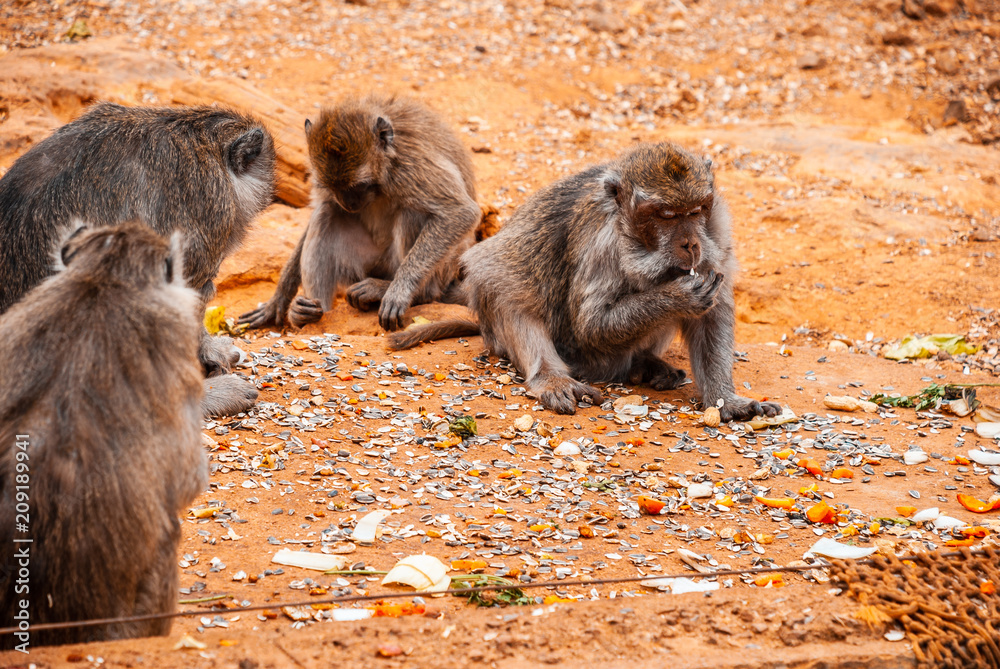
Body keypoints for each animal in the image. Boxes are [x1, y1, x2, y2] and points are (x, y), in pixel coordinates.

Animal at [238, 93, 480, 333]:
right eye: (333, 187)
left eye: (359, 186)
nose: (349, 204)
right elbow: (322, 206)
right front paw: (277, 302)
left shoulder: (410, 165)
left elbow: (459, 212)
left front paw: (399, 292)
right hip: (363, 265)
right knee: (326, 212)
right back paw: (308, 312)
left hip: (433, 271)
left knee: (413, 211)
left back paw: (410, 292)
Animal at [388, 142, 782, 422]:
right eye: (666, 216)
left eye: (696, 211)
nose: (690, 244)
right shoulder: (600, 242)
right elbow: (591, 324)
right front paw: (676, 297)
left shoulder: (717, 228)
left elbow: (712, 312)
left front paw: (725, 401)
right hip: (564, 352)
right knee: (501, 282)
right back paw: (551, 377)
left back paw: (644, 363)